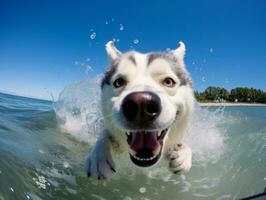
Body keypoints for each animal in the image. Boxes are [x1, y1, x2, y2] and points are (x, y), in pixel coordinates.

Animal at [86, 40, 194, 180]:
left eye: (168, 81)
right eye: (118, 82)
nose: (141, 104)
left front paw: (183, 153)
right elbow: (105, 133)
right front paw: (98, 156)